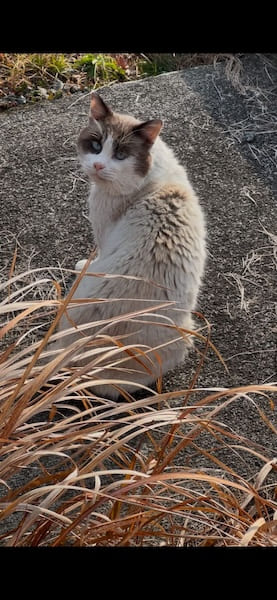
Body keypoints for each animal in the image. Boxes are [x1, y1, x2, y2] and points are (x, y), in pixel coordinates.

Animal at [54, 92, 205, 398]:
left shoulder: (102, 239)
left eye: (121, 155)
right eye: (96, 145)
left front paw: (81, 264)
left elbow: (93, 258)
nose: (98, 166)